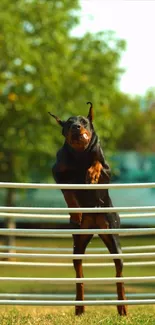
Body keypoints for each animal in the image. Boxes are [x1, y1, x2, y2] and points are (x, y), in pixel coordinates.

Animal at [49, 102, 127, 316]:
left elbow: (98, 163)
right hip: (78, 242)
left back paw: (123, 307)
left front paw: (91, 173)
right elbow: (68, 192)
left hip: (112, 234)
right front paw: (75, 212)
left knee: (119, 274)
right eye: (69, 123)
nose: (76, 127)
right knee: (79, 275)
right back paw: (79, 306)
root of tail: (94, 223)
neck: (80, 154)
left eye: (83, 121)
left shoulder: (106, 171)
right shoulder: (58, 172)